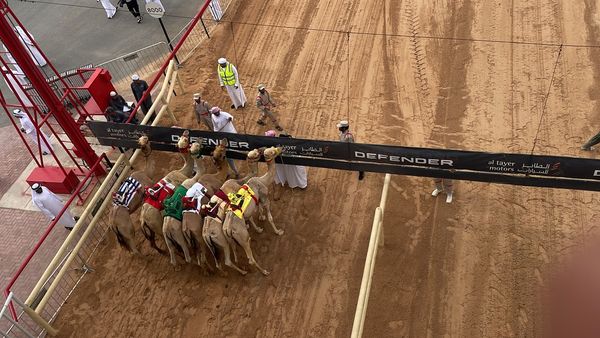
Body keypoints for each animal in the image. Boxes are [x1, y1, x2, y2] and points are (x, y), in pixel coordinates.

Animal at [207, 147, 282, 276]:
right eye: (272, 151)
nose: (280, 148)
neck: (262, 180)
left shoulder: (253, 203)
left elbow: (253, 213)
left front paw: (259, 225)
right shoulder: (264, 198)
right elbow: (269, 216)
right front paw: (278, 232)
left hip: (226, 240)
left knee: (228, 256)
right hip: (236, 239)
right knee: (248, 258)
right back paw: (264, 271)